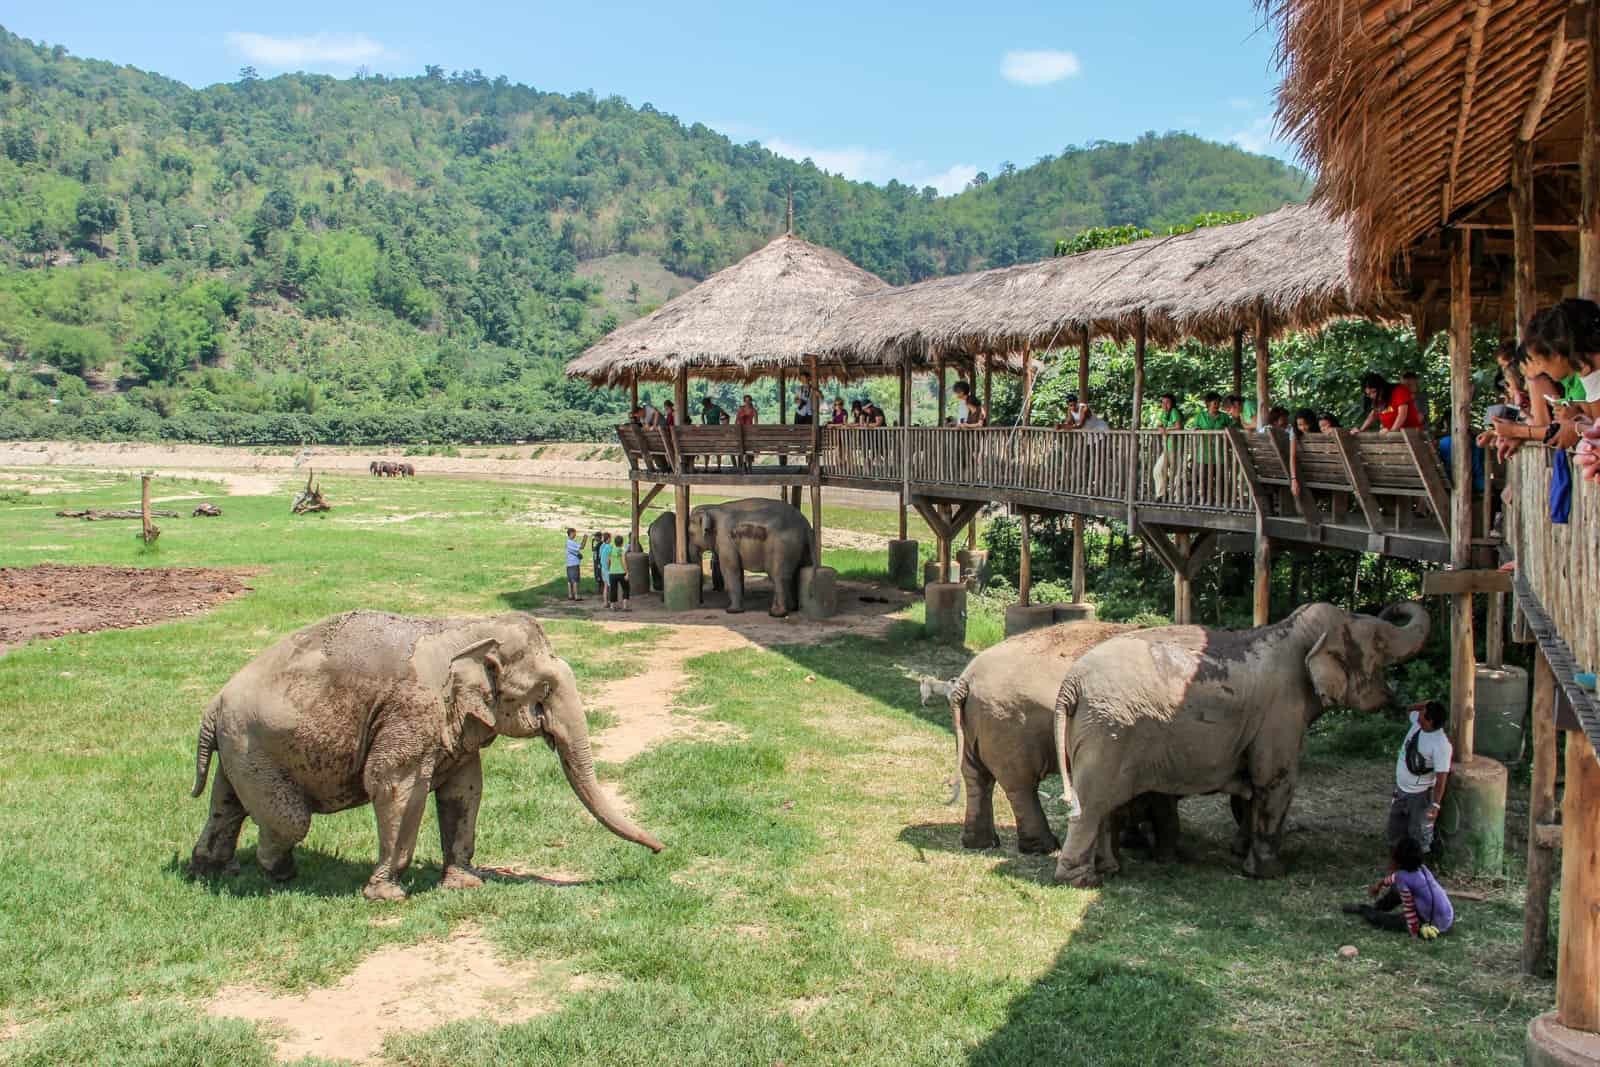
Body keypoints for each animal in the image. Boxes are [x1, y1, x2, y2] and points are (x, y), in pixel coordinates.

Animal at [190, 607, 665, 902]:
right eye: (544, 690)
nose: (662, 850)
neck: (468, 629)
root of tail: (213, 704)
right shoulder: (412, 710)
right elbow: (394, 785)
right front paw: (388, 894)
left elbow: (465, 788)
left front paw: (464, 884)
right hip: (254, 747)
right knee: (290, 820)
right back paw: (279, 873)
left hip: (241, 750)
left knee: (225, 806)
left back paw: (210, 870)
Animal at [684, 499, 812, 617]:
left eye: (690, 534)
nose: (702, 603)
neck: (713, 507)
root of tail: (806, 526)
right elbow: (737, 570)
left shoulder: (725, 540)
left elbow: (730, 569)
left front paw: (732, 611)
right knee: (795, 573)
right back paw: (791, 608)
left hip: (782, 547)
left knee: (778, 576)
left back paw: (776, 613)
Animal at [1049, 601, 1440, 883]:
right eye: (1379, 642)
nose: (1394, 606)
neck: (1291, 632)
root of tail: (1070, 685)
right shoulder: (1281, 712)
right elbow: (1276, 781)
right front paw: (1270, 874)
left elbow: (1253, 788)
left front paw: (1240, 854)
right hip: (1108, 733)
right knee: (1094, 803)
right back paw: (1082, 881)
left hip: (1098, 731)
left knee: (1103, 805)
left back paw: (1107, 870)